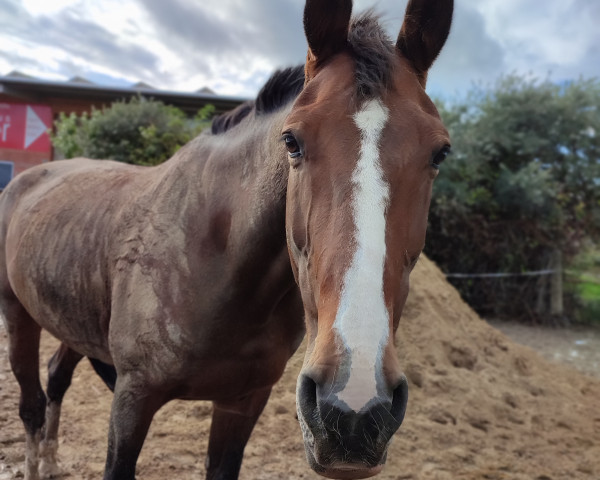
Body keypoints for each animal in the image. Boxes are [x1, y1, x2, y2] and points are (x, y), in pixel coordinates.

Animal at [0, 0, 450, 478]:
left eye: (440, 152)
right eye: (291, 140)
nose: (354, 411)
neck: (213, 261)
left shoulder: (242, 403)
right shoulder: (132, 399)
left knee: (56, 378)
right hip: (18, 314)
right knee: (31, 404)